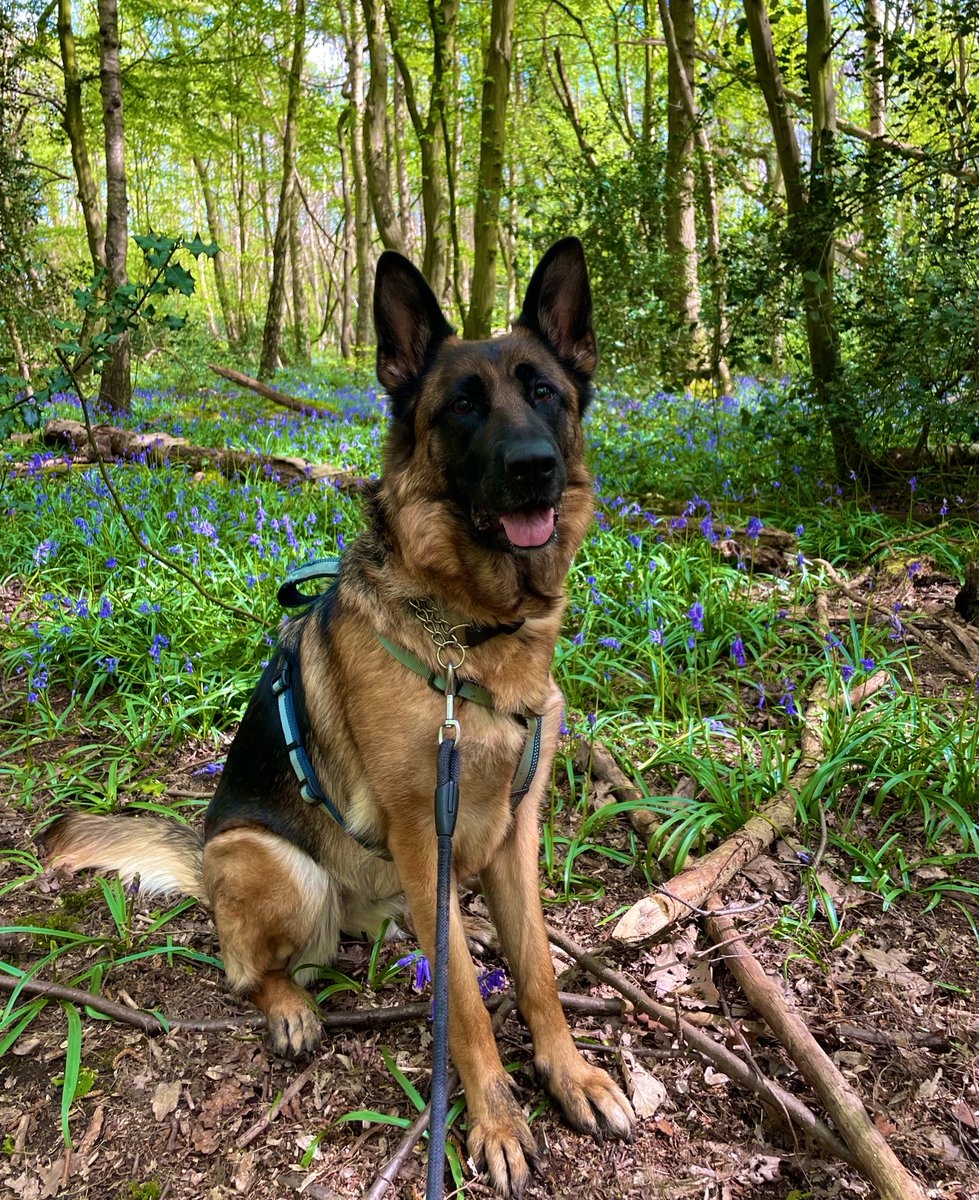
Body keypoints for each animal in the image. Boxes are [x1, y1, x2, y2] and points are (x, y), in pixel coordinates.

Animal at [47, 238, 633, 1195]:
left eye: (543, 391)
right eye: (462, 405)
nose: (532, 468)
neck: (470, 633)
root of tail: (204, 857)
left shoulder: (515, 833)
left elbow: (539, 970)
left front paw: (569, 1072)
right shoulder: (425, 832)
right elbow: (467, 1005)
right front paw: (496, 1120)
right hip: (277, 867)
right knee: (250, 969)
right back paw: (288, 1006)